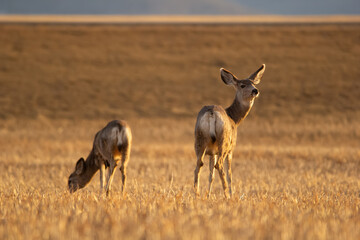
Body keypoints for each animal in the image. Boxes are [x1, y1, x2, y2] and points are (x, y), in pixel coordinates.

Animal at [194, 64, 264, 199]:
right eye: (242, 85)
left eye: (253, 83)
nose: (255, 91)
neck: (234, 119)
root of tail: (211, 112)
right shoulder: (231, 148)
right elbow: (230, 173)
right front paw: (231, 194)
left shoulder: (212, 152)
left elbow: (211, 175)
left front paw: (208, 195)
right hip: (224, 141)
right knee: (220, 165)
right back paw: (227, 195)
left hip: (199, 140)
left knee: (198, 165)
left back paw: (196, 194)